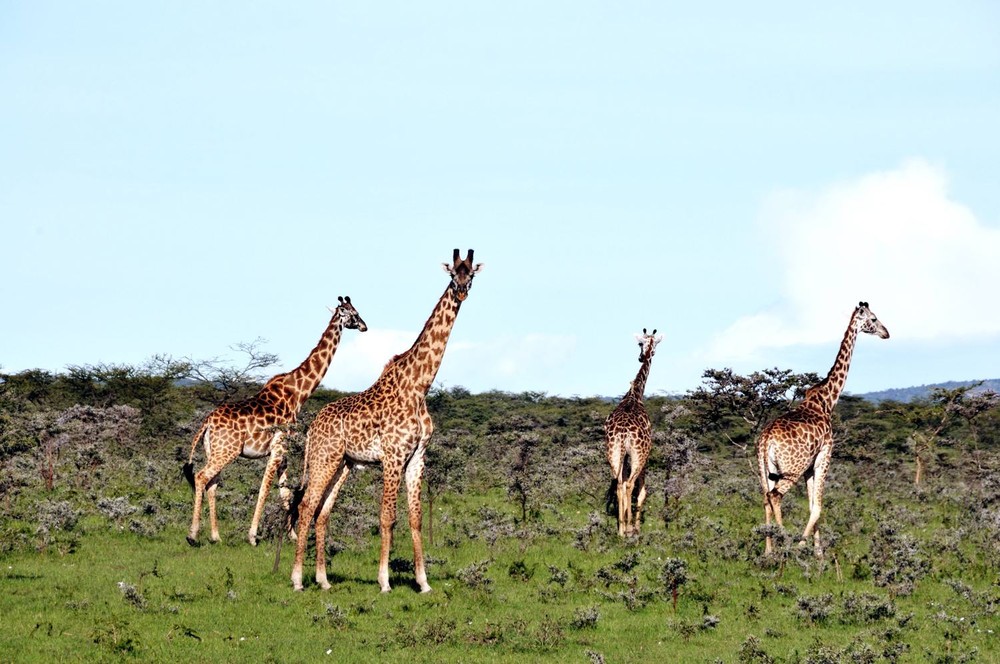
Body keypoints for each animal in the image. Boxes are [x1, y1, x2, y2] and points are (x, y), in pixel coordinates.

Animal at [184, 296, 367, 547]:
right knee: (202, 476)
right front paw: (253, 536)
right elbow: (265, 488)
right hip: (227, 450)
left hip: (216, 450)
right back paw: (193, 535)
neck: (298, 393)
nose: (364, 326)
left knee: (212, 483)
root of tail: (208, 422)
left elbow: (285, 492)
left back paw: (215, 536)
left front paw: (292, 535)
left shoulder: (284, 452)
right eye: (354, 313)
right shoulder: (279, 447)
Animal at [290, 249, 483, 593]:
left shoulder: (417, 456)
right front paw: (384, 582)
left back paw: (324, 581)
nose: (461, 292)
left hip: (342, 465)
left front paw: (424, 582)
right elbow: (387, 517)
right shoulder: (393, 456)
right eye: (452, 275)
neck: (419, 387)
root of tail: (312, 428)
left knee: (322, 512)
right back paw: (298, 580)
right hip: (324, 459)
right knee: (306, 506)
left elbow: (415, 518)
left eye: (471, 274)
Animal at [605, 328, 662, 537]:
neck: (635, 394)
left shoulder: (625, 455)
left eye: (641, 344)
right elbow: (642, 491)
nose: (642, 356)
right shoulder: (645, 454)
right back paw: (629, 529)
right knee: (629, 484)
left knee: (619, 483)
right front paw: (636, 527)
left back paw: (621, 530)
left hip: (613, 452)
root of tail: (623, 433)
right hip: (639, 453)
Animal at [757, 301, 889, 557]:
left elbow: (811, 506)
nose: (886, 333)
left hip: (765, 469)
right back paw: (785, 544)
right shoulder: (824, 456)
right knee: (775, 496)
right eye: (874, 319)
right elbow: (818, 506)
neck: (827, 400)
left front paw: (818, 552)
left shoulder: (810, 466)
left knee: (766, 497)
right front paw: (805, 547)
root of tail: (767, 438)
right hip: (792, 468)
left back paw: (769, 550)